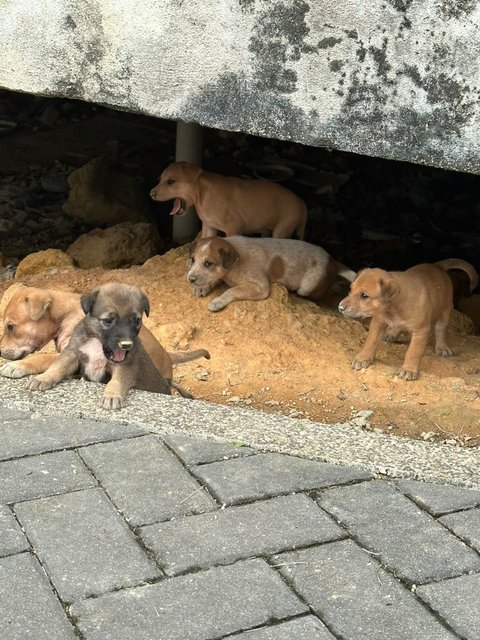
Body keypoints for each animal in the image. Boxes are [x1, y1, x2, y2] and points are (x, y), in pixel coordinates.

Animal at [0, 284, 210, 380]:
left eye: (10, 327)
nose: (0, 351)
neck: (66, 315)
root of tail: (167, 354)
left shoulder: (76, 352)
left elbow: (41, 357)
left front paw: (17, 366)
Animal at [27, 282, 192, 410]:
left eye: (137, 320)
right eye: (108, 320)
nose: (126, 345)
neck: (98, 344)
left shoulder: (125, 364)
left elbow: (117, 381)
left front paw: (112, 395)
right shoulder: (73, 352)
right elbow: (58, 365)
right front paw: (43, 378)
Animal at [150, 160, 308, 240]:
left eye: (170, 181)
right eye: (160, 179)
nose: (151, 193)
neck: (203, 196)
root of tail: (301, 202)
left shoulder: (234, 227)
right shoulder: (209, 226)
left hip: (282, 229)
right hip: (267, 230)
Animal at [188, 238, 356, 312]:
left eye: (208, 263)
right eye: (193, 259)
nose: (190, 279)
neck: (236, 261)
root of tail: (332, 260)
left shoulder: (260, 287)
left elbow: (232, 290)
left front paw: (217, 301)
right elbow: (214, 279)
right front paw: (202, 287)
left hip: (308, 286)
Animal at [340, 258, 478, 380]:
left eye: (364, 296)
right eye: (350, 290)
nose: (340, 307)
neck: (393, 307)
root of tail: (437, 266)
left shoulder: (421, 331)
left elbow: (413, 352)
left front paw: (408, 370)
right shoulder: (378, 322)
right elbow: (370, 341)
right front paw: (363, 358)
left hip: (445, 310)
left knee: (441, 330)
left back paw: (442, 347)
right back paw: (391, 334)